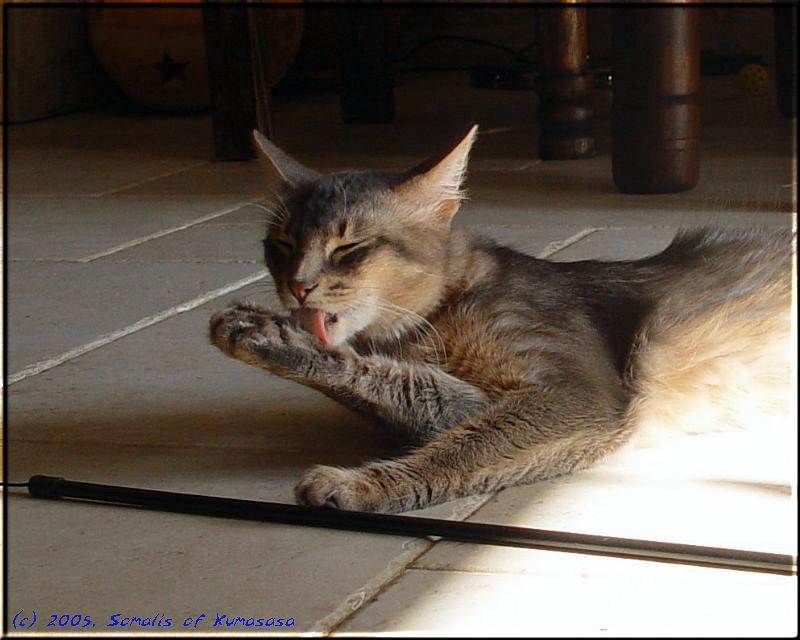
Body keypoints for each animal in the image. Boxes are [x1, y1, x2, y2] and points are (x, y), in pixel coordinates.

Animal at [209, 125, 796, 516]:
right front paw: (271, 338)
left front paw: (360, 486)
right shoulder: (478, 398)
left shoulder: (580, 399)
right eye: (281, 246)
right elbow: (403, 388)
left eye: (350, 247)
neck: (438, 315)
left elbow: (459, 452)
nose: (298, 285)